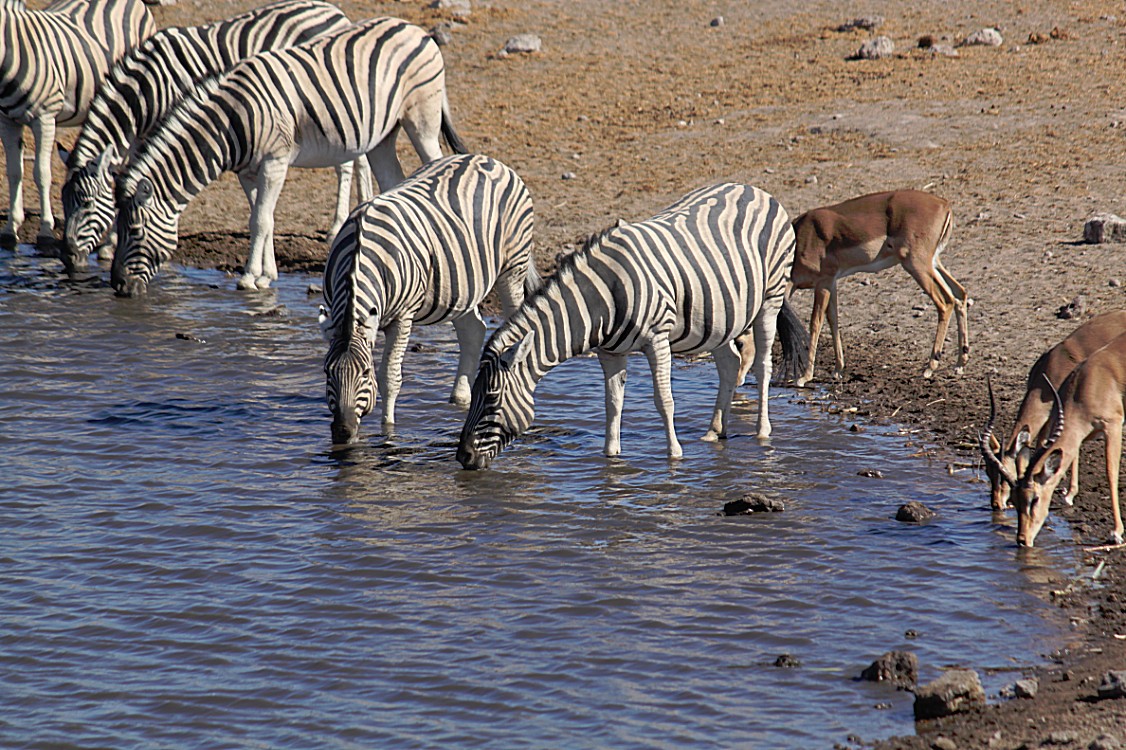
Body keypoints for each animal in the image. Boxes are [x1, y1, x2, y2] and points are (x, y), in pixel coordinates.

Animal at [0, 0, 155, 244]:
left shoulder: (44, 117)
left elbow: (41, 173)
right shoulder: (7, 120)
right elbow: (15, 172)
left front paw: (46, 230)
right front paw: (10, 229)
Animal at [60, 0, 360, 274]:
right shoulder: (140, 133)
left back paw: (337, 226)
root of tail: (333, 10)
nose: (69, 258)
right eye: (64, 202)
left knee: (347, 164)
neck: (148, 87)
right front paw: (111, 242)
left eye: (86, 204)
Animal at [109, 14, 466, 295]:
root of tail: (415, 29)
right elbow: (262, 217)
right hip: (382, 136)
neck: (232, 121)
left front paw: (249, 277)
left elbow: (260, 219)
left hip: (421, 120)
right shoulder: (248, 171)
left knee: (434, 166)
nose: (118, 286)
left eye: (135, 231)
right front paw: (267, 274)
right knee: (394, 182)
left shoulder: (275, 162)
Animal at [319, 152, 538, 443]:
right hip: (460, 283)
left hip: (513, 265)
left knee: (517, 319)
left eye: (365, 373)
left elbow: (390, 376)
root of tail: (486, 159)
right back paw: (460, 397)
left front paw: (388, 431)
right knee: (473, 330)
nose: (343, 433)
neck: (358, 252)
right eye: (327, 372)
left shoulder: (402, 318)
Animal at [457, 181, 810, 468]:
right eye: (472, 397)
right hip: (719, 317)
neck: (603, 298)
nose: (463, 457)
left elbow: (664, 400)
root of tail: (756, 190)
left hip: (770, 297)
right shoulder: (610, 352)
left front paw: (674, 456)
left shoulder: (657, 339)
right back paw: (714, 431)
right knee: (730, 364)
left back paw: (762, 432)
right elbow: (612, 403)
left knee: (762, 364)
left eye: (491, 399)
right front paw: (611, 458)